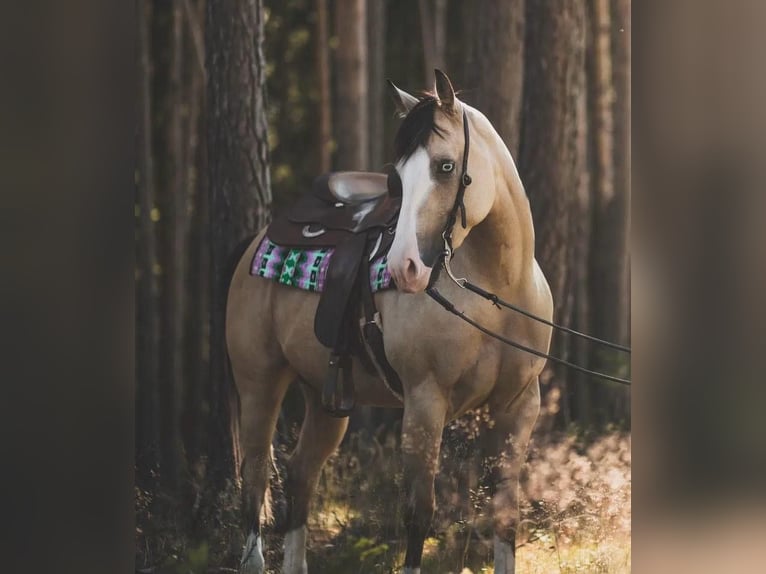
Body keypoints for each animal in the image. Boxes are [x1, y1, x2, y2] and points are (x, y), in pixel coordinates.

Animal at [225, 70, 556, 572]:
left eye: (445, 167)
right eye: (396, 178)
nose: (405, 268)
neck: (499, 293)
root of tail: (256, 241)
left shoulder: (518, 405)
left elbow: (505, 514)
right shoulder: (424, 401)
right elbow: (419, 513)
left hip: (324, 399)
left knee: (300, 476)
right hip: (259, 385)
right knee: (256, 480)